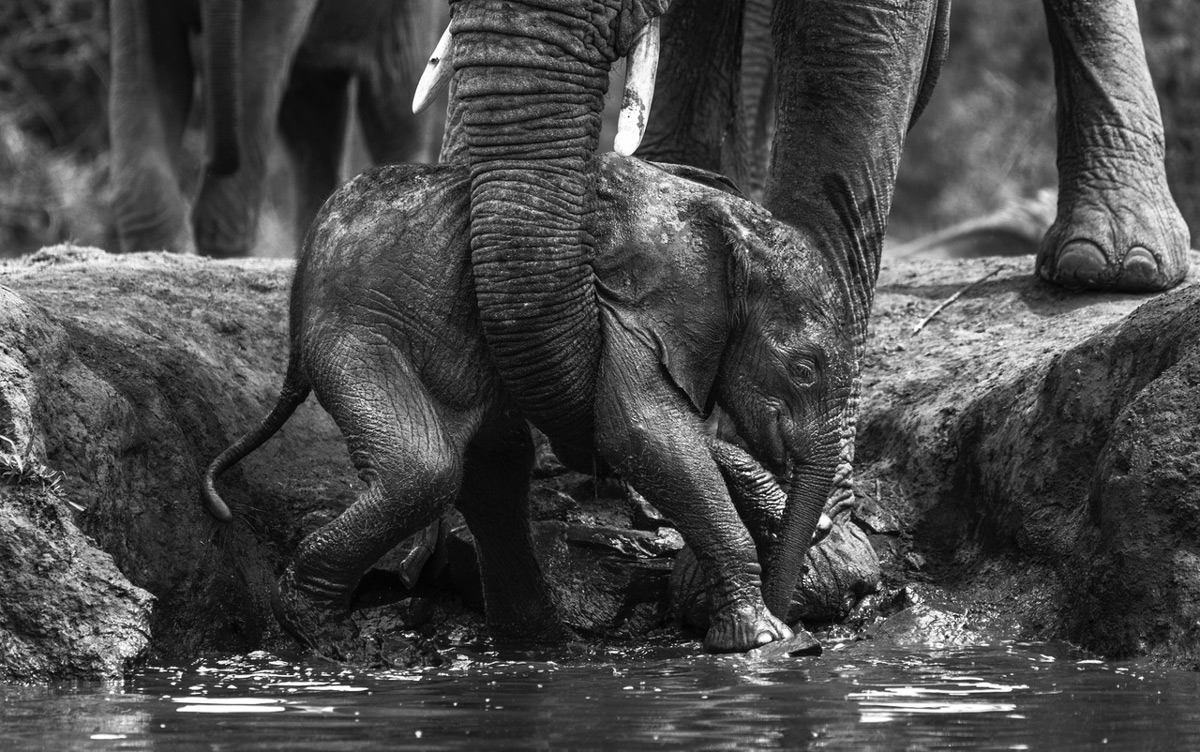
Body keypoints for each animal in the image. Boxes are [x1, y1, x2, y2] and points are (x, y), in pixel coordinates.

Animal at [201, 155, 854, 657]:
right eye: (803, 369)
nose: (806, 638)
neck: (727, 226)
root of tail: (300, 273)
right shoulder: (631, 311)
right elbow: (643, 437)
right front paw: (762, 640)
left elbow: (651, 441)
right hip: (357, 330)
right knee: (424, 470)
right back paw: (324, 639)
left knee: (494, 470)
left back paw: (542, 647)